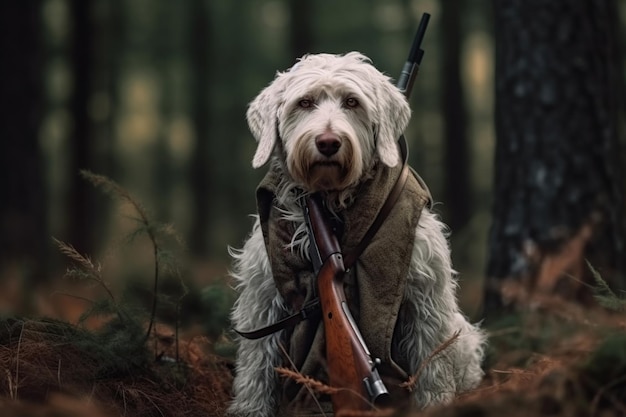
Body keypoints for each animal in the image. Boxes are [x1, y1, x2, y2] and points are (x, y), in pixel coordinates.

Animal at [227, 52, 486, 416]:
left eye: (352, 102)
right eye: (304, 102)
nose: (327, 142)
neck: (335, 203)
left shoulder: (426, 298)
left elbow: (432, 364)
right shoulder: (262, 296)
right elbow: (256, 363)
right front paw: (250, 409)